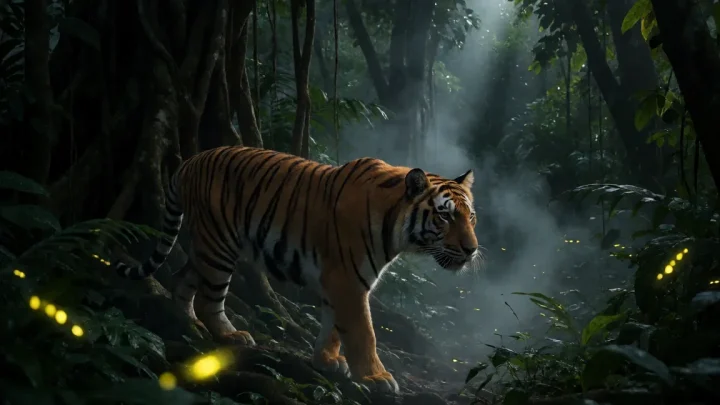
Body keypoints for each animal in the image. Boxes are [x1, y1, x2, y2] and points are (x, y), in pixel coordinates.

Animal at [114, 146, 480, 393]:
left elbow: (333, 326)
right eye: (445, 216)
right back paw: (230, 334)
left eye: (471, 217)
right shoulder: (348, 280)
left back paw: (186, 322)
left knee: (183, 279)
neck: (397, 230)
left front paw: (327, 361)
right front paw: (376, 377)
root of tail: (190, 160)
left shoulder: (341, 281)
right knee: (209, 298)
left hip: (207, 244)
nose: (472, 249)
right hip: (220, 244)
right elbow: (363, 332)